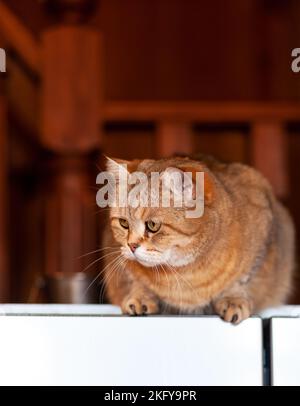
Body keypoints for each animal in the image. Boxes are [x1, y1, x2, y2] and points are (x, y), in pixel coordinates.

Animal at [102, 155, 294, 324]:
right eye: (124, 223)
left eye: (153, 225)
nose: (131, 245)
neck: (186, 271)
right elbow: (136, 281)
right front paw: (140, 296)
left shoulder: (263, 236)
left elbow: (239, 281)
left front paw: (233, 300)